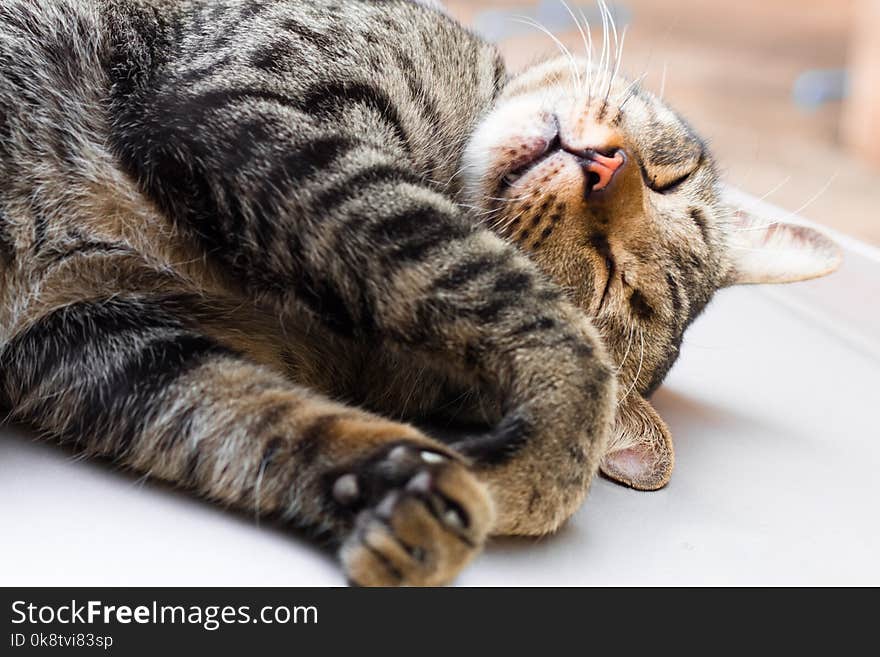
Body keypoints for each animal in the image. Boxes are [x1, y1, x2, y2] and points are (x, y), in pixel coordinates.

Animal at [0, 0, 840, 584]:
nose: (609, 169)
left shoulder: (100, 340)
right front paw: (532, 473)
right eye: (668, 179)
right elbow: (542, 329)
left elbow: (257, 420)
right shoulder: (231, 105)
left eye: (612, 277)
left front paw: (410, 490)